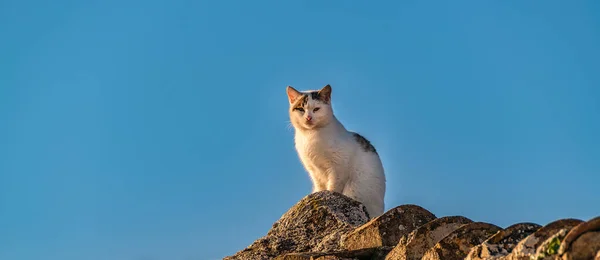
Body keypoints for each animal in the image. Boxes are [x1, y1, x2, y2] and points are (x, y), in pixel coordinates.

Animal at [288, 84, 390, 217]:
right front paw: (319, 194)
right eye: (301, 109)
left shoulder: (338, 167)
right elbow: (320, 187)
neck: (310, 137)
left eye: (316, 109)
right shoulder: (313, 170)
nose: (308, 117)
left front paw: (329, 195)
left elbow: (334, 187)